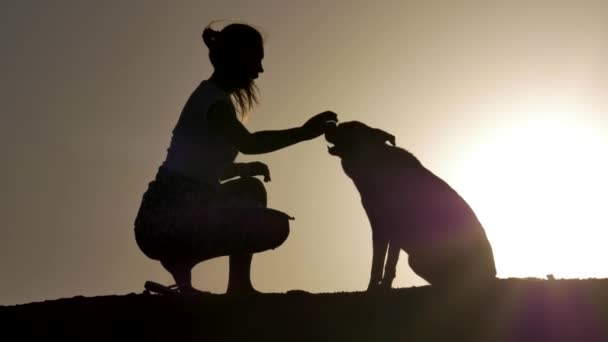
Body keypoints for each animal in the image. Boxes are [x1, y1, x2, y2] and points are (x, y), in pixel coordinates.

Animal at [326, 121, 496, 290]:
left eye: (348, 127)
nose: (329, 123)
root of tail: (492, 274)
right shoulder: (378, 226)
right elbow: (377, 262)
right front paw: (372, 287)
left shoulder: (396, 227)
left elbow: (389, 262)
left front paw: (384, 286)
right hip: (416, 260)